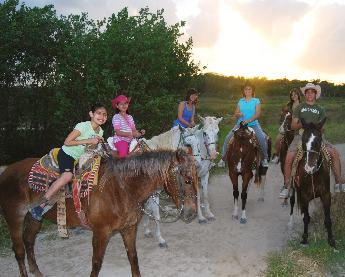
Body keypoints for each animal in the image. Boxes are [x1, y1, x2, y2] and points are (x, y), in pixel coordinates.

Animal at [0, 149, 196, 276]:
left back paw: (36, 271)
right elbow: (96, 264)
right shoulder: (100, 233)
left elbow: (133, 257)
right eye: (187, 179)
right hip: (15, 217)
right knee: (19, 250)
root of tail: (6, 171)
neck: (121, 189)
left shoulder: (129, 229)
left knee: (29, 241)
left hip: (35, 218)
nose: (192, 213)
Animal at [288, 117, 334, 247]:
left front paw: (331, 241)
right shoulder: (304, 195)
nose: (309, 167)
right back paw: (290, 223)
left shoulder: (326, 195)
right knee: (292, 201)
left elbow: (328, 219)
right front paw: (304, 238)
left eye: (318, 140)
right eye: (303, 140)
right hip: (293, 188)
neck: (314, 174)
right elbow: (306, 218)